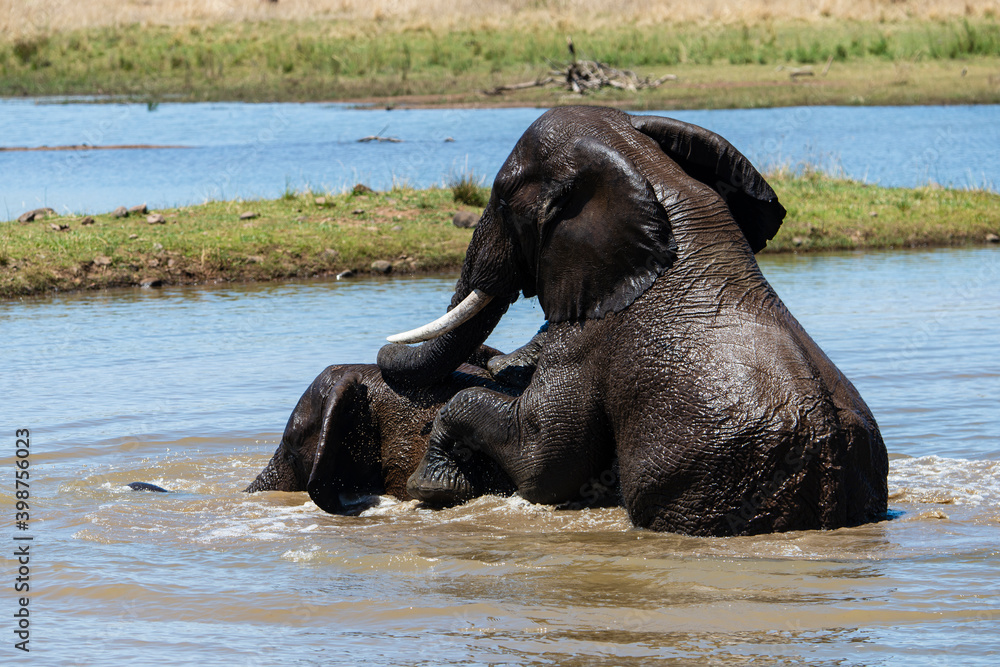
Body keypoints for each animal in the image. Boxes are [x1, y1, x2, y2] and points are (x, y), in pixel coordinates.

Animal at [377, 105, 889, 536]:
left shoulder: (589, 338)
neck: (647, 172)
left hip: (711, 489)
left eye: (502, 200)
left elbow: (543, 460)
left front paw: (431, 489)